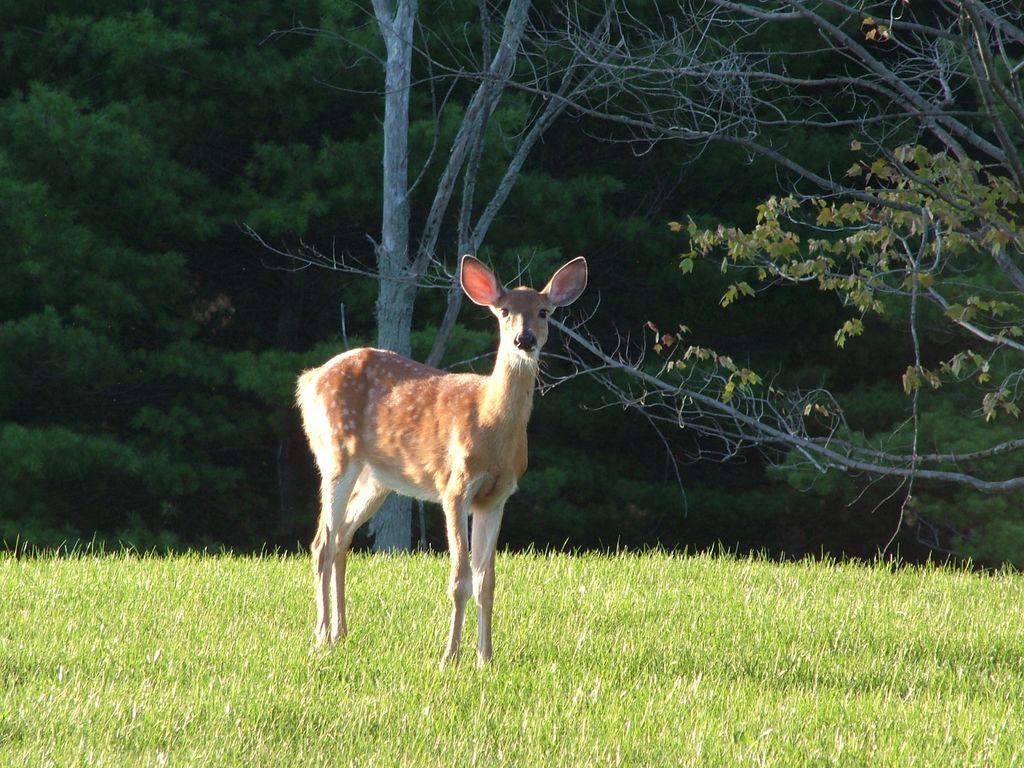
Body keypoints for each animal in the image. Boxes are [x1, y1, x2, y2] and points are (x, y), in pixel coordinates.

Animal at [292, 256, 589, 663]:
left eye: (544, 312)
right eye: (504, 311)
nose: (524, 340)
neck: (490, 423)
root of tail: (309, 380)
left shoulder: (496, 497)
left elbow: (486, 581)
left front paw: (485, 658)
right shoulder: (455, 486)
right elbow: (460, 579)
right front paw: (450, 656)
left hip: (376, 480)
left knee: (341, 539)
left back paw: (340, 633)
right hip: (336, 455)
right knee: (322, 542)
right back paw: (322, 636)